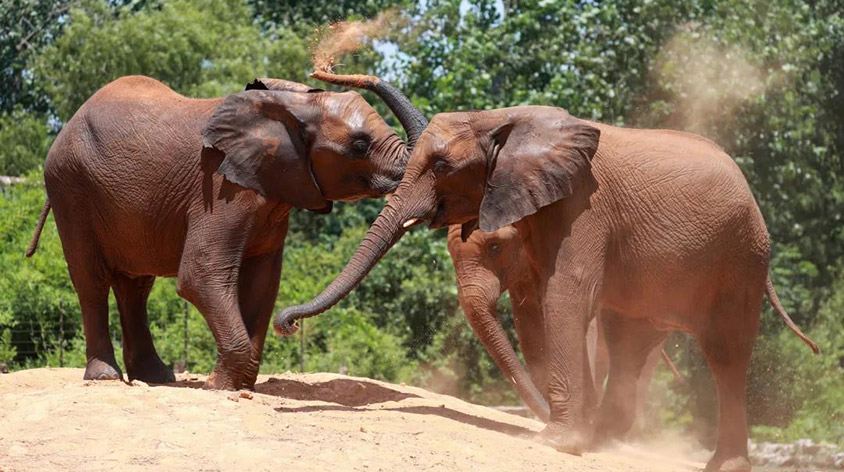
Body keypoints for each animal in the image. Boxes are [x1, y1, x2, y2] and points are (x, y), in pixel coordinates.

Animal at [26, 73, 426, 390]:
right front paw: (221, 385)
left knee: (135, 286)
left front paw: (235, 384)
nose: (290, 326)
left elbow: (263, 282)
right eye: (359, 146)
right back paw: (106, 378)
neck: (292, 107)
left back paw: (156, 377)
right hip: (70, 186)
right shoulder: (220, 186)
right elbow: (200, 273)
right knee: (91, 280)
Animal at [276, 73, 816, 468]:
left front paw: (556, 442)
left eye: (444, 167)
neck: (504, 120)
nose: (287, 322)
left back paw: (717, 462)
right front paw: (565, 435)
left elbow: (565, 296)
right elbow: (537, 305)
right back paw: (604, 439)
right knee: (627, 339)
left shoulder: (583, 206)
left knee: (725, 352)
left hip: (742, 254)